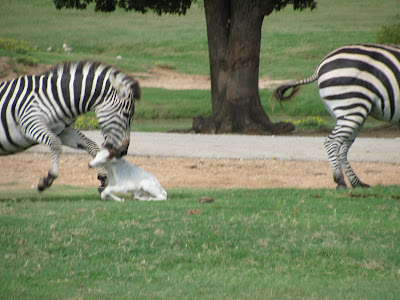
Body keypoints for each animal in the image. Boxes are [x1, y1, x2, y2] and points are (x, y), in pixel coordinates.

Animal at [0, 61, 141, 192]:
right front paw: (48, 178)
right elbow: (55, 144)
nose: (124, 151)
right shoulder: (29, 121)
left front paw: (103, 177)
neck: (57, 98)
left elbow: (91, 145)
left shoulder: (64, 132)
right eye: (126, 114)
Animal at [272, 43, 400, 189]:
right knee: (332, 142)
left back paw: (357, 183)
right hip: (352, 106)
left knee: (343, 146)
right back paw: (340, 180)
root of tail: (320, 65)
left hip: (348, 112)